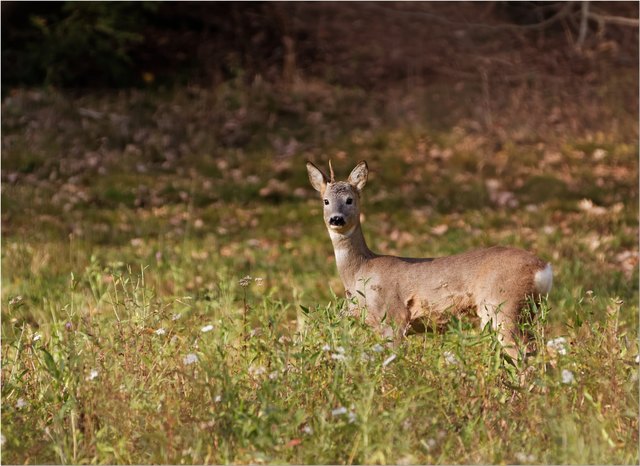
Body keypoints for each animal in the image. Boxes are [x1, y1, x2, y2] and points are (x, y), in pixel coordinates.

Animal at [304, 160, 552, 360]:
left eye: (349, 200)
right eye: (325, 201)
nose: (336, 219)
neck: (360, 272)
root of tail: (543, 269)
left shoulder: (394, 316)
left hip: (503, 305)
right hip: (527, 312)